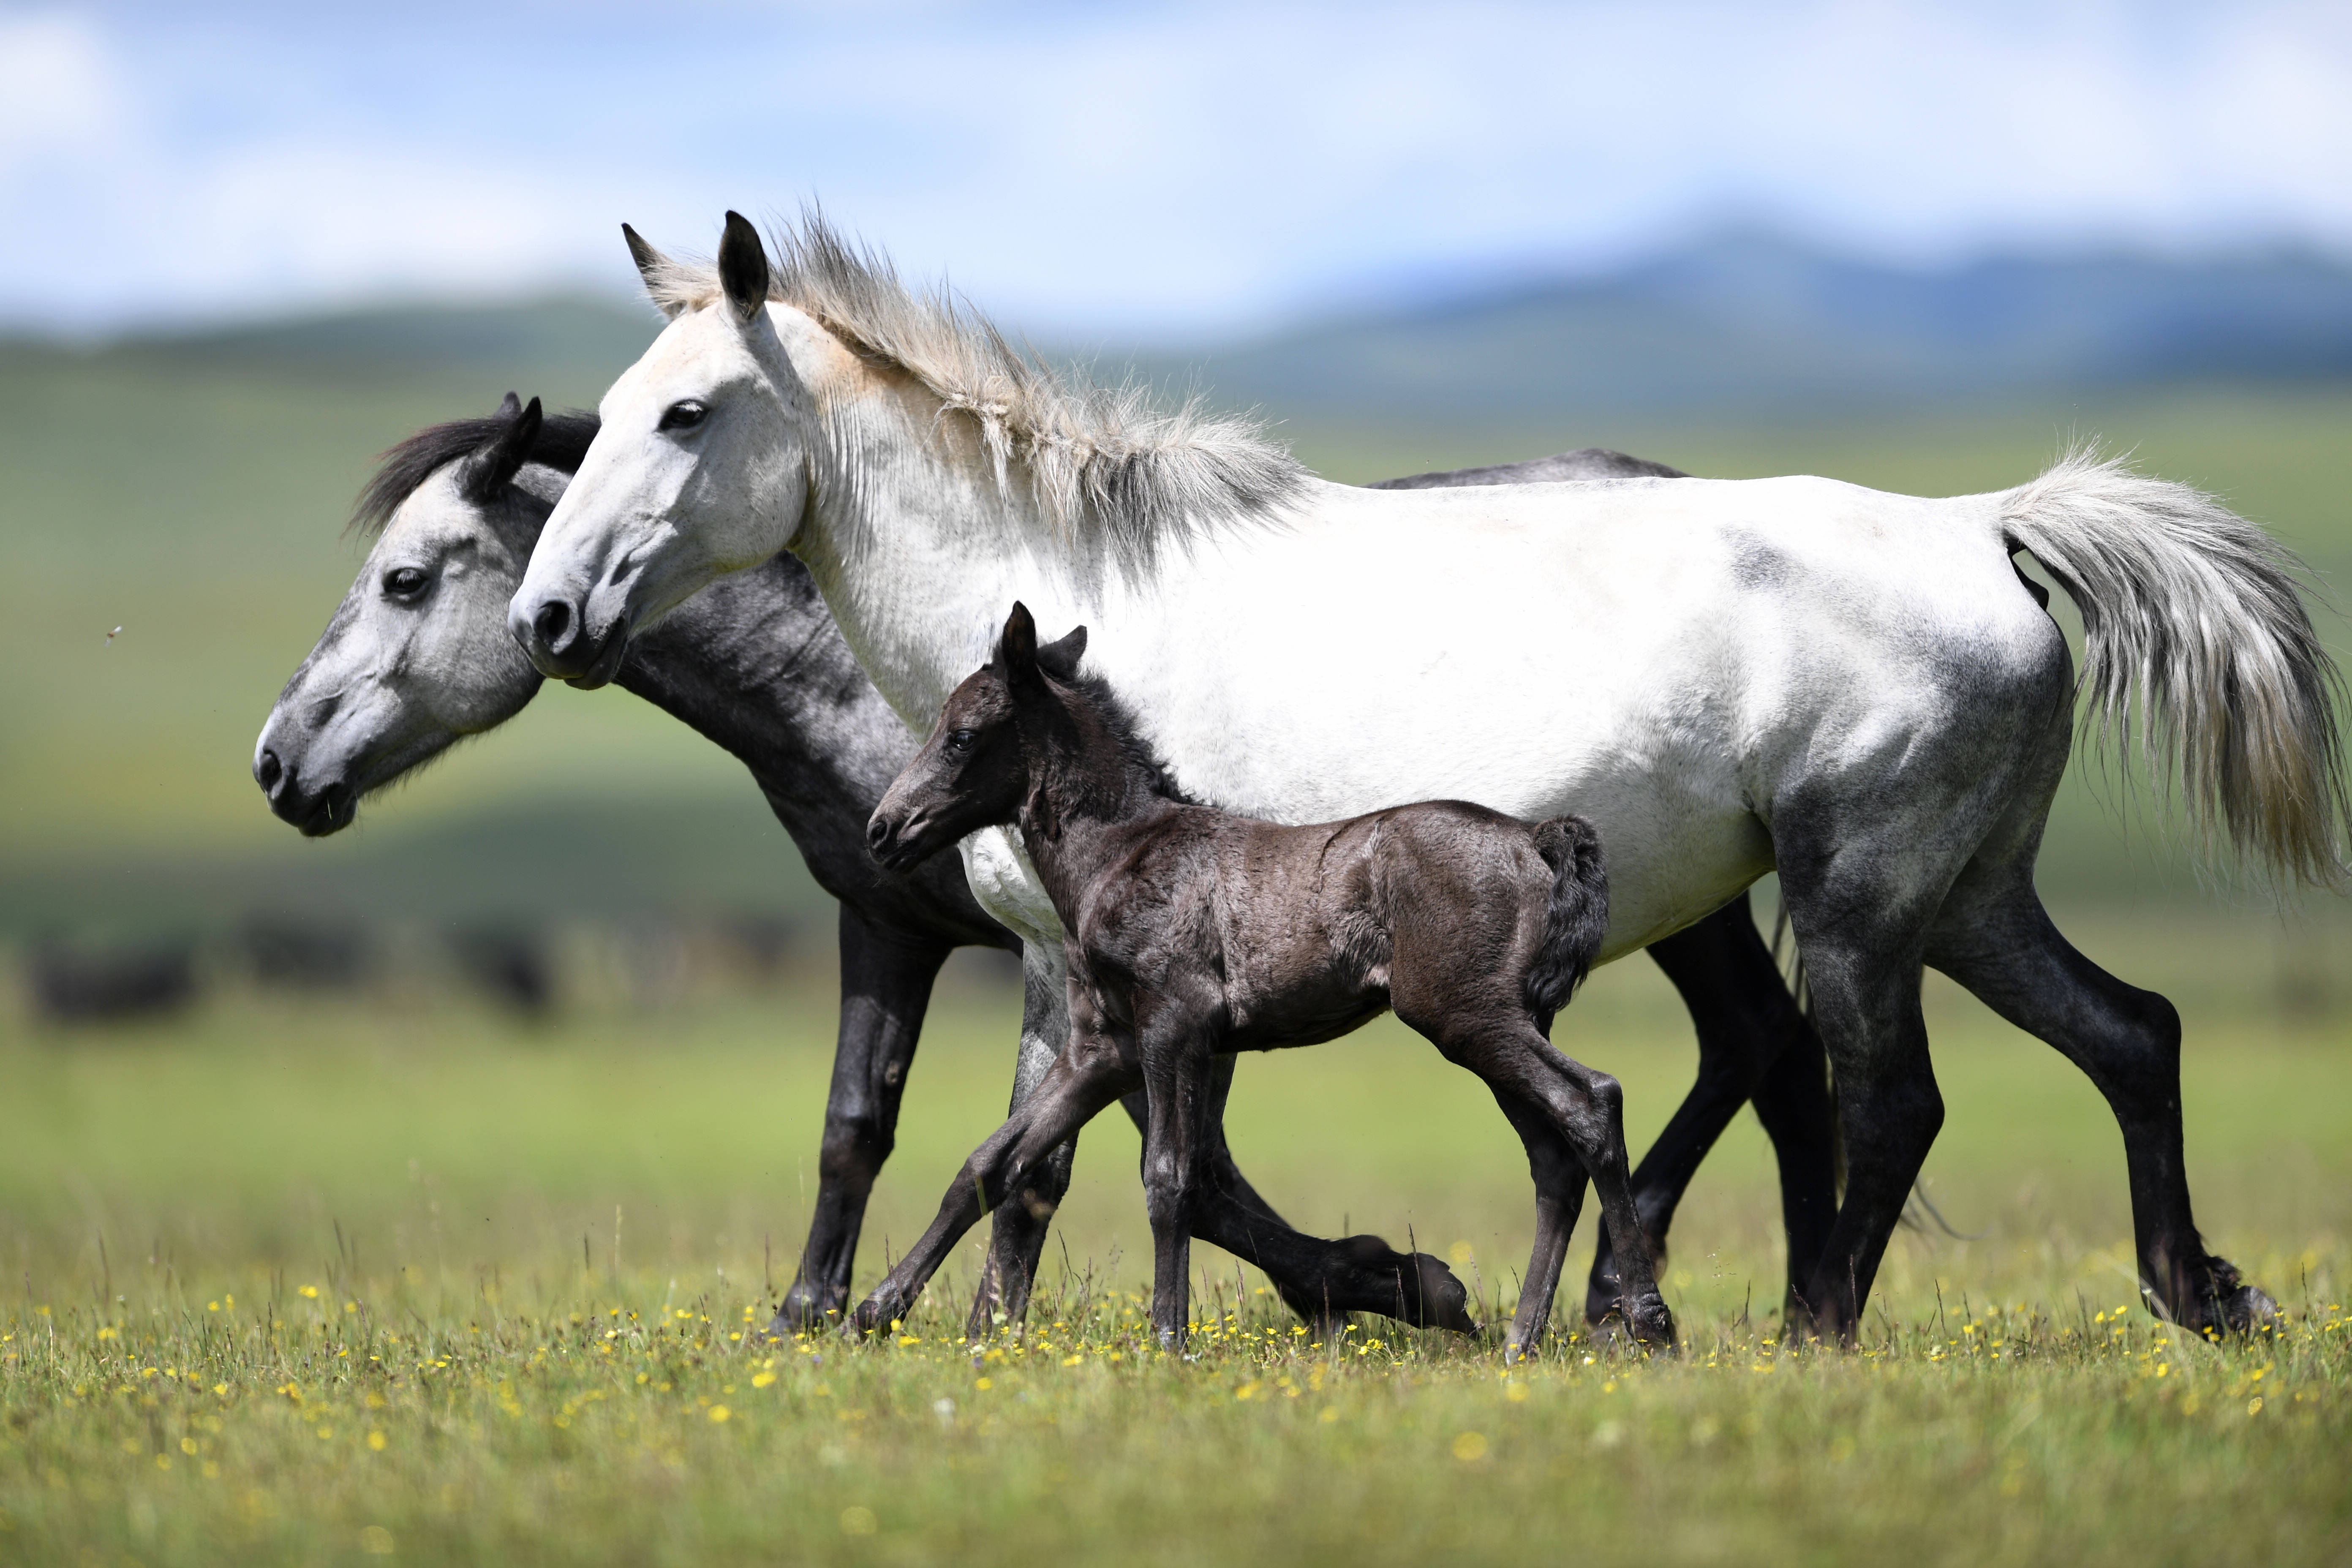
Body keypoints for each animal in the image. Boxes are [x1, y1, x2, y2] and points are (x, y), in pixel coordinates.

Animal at [847, 606, 1674, 1354]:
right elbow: (990, 1162)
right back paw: (1520, 1343)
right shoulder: (1103, 1049)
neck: (1119, 853)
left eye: (960, 736)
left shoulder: (1176, 1027)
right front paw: (872, 1312)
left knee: (1593, 1102)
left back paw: (1650, 1326)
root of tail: (1536, 841)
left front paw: (1169, 1340)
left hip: (1469, 1019)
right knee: (1553, 1157)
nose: (882, 831)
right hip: (1503, 1023)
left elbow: (1170, 1179)